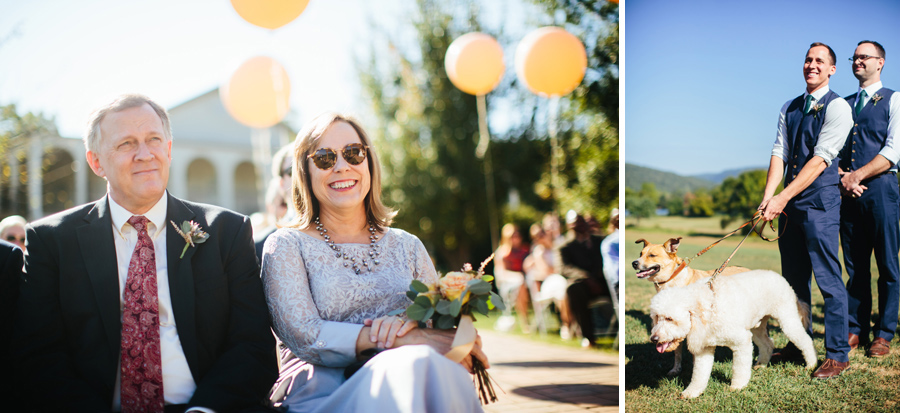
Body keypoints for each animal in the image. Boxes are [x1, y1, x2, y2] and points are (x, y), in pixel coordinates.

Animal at [632, 237, 752, 374]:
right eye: (640, 254)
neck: (673, 279)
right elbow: (677, 351)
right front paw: (676, 370)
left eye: (652, 255)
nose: (634, 263)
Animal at [652, 268, 820, 398]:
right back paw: (761, 364)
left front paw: (737, 386)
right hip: (758, 325)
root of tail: (781, 279)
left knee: (805, 339)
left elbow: (739, 368)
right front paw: (692, 392)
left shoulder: (742, 341)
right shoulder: (704, 348)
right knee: (767, 344)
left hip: (787, 318)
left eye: (670, 318)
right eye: (656, 317)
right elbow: (700, 373)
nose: (654, 338)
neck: (709, 308)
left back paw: (811, 364)